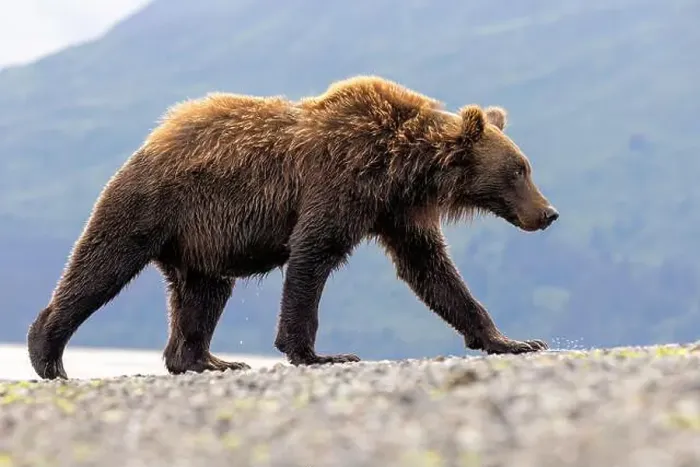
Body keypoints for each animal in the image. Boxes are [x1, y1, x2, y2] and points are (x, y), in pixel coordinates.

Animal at [27, 75, 559, 380]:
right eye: (519, 170)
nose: (548, 212)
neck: (400, 167)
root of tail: (153, 139)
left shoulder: (396, 212)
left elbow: (432, 271)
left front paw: (512, 340)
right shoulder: (339, 183)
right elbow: (313, 255)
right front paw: (319, 353)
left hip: (202, 242)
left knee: (203, 293)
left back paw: (208, 359)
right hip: (151, 205)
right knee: (102, 266)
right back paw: (48, 353)